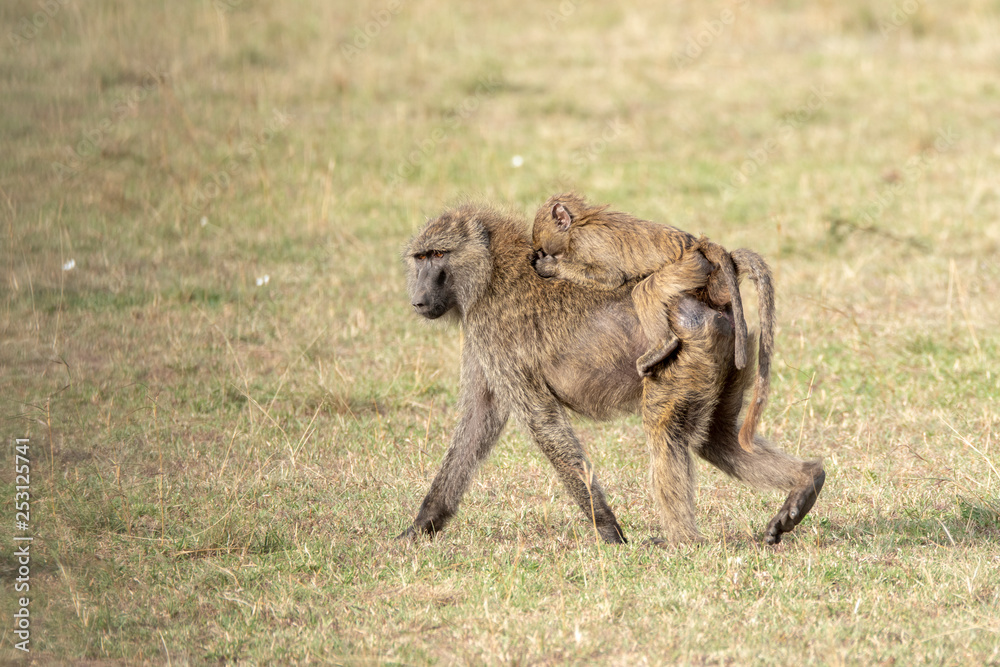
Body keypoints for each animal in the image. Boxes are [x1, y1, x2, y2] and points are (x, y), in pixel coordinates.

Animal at [531, 193, 774, 453]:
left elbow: (610, 277)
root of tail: (698, 245)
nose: (539, 253)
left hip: (686, 270)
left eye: (542, 248)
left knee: (645, 290)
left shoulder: (586, 243)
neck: (579, 224)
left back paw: (662, 346)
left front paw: (550, 267)